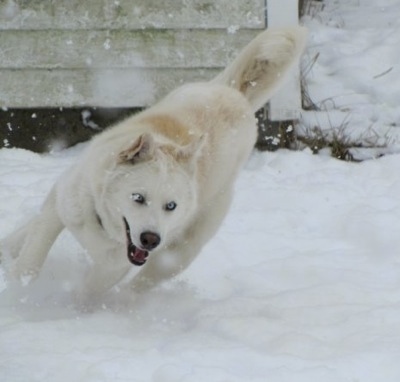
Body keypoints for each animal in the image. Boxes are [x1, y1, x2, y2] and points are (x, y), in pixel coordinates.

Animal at [0, 26, 306, 296]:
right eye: (138, 197)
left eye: (171, 206)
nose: (151, 239)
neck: (102, 223)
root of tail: (234, 95)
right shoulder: (61, 204)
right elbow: (32, 255)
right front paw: (20, 288)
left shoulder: (113, 267)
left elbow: (86, 295)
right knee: (25, 232)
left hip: (182, 251)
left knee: (141, 285)